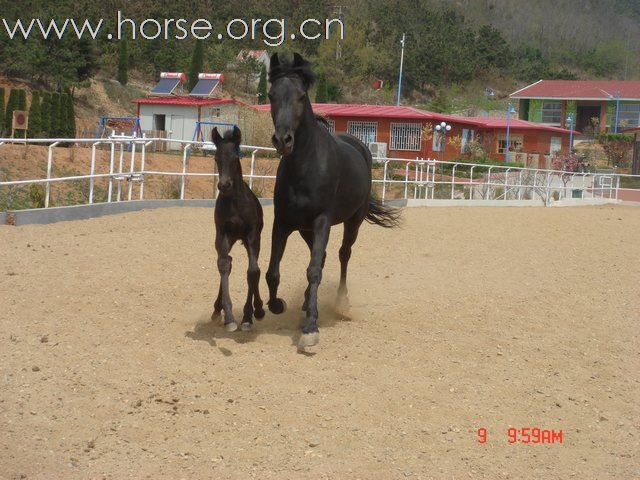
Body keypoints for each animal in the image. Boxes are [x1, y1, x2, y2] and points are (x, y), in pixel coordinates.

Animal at [210, 125, 264, 332]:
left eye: (235, 158)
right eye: (216, 158)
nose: (224, 185)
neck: (234, 203)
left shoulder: (252, 235)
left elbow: (253, 271)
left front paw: (250, 315)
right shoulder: (222, 234)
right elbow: (223, 265)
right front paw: (230, 317)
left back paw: (257, 309)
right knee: (227, 261)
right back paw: (217, 310)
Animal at [264, 54, 400, 350]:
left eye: (301, 96)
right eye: (271, 95)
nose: (283, 140)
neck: (305, 167)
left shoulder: (322, 221)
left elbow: (314, 271)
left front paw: (310, 328)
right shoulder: (283, 223)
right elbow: (273, 272)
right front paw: (277, 305)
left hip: (352, 222)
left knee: (342, 255)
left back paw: (341, 303)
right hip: (305, 229)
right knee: (324, 257)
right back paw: (305, 303)